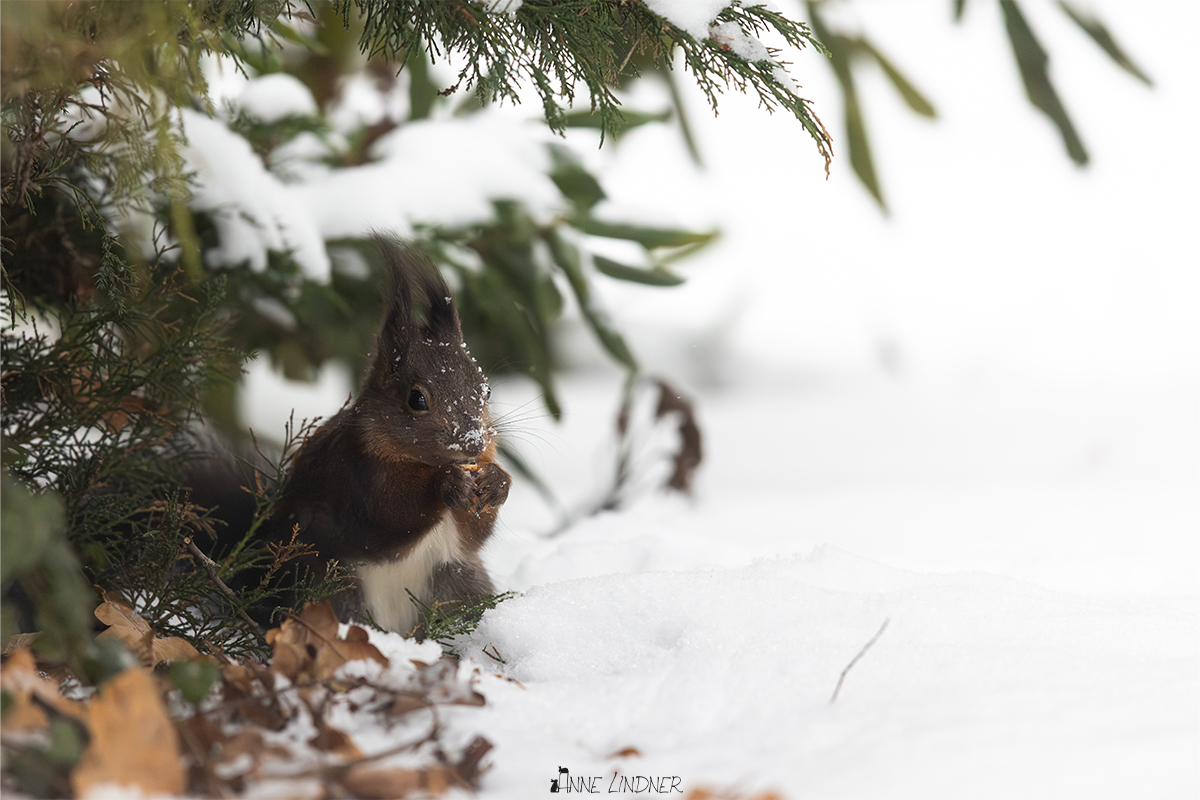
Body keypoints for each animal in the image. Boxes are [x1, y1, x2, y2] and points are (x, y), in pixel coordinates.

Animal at [250, 239, 511, 634]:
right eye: (416, 399)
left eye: (487, 391)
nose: (473, 443)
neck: (420, 463)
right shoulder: (355, 476)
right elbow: (390, 515)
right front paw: (446, 483)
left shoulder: (462, 537)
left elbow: (473, 534)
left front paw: (497, 481)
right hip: (334, 590)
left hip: (459, 583)